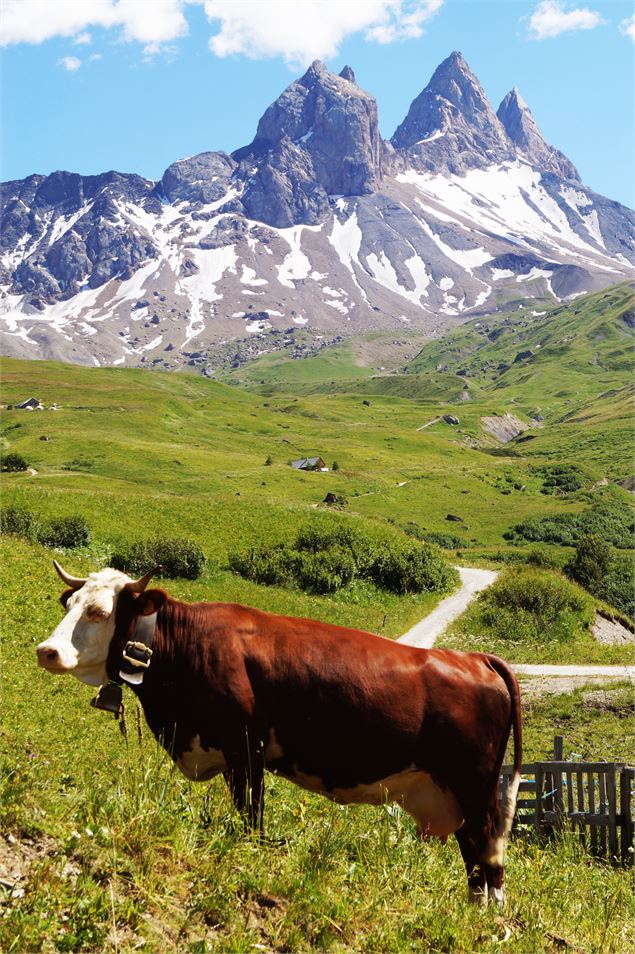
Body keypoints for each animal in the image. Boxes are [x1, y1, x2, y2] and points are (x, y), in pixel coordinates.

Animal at [37, 560, 520, 904]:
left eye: (100, 612)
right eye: (69, 605)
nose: (47, 651)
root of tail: (474, 658)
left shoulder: (244, 749)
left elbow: (251, 817)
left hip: (476, 790)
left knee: (490, 866)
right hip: (453, 793)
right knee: (475, 864)